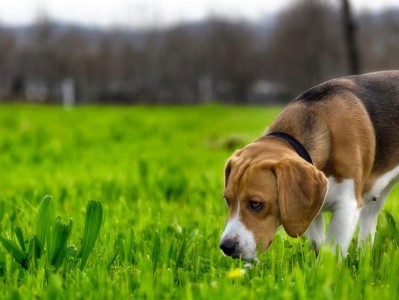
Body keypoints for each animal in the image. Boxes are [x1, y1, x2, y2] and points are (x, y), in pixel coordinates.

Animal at [220, 71, 399, 260]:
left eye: (256, 204)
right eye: (227, 200)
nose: (226, 246)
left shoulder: (347, 205)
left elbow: (330, 252)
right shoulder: (310, 210)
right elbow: (318, 243)